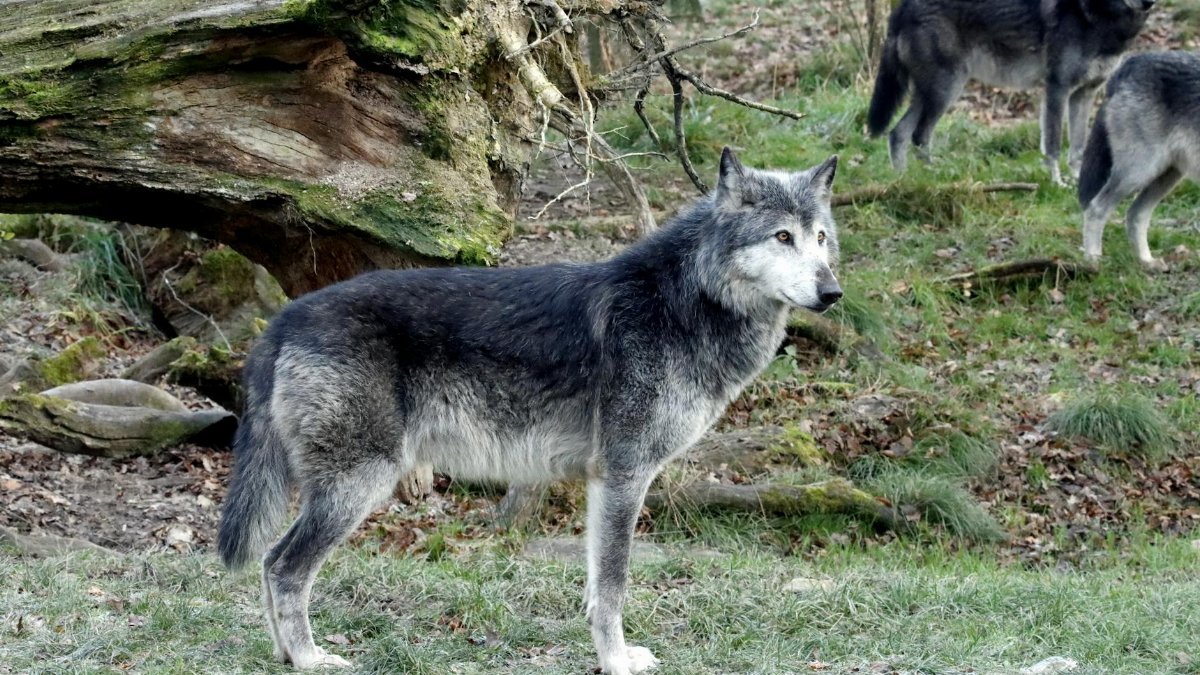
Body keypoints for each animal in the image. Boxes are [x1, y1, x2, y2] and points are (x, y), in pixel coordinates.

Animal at [217, 149, 843, 674]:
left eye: (820, 238)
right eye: (782, 236)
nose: (832, 292)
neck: (681, 304)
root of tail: (284, 320)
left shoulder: (602, 482)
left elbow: (596, 586)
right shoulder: (624, 474)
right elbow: (614, 585)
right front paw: (616, 664)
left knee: (270, 564)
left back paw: (283, 655)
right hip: (360, 485)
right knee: (282, 566)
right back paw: (309, 660)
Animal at [867, 0, 1154, 184]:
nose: (1149, 3)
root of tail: (901, 8)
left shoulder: (1084, 95)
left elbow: (1077, 147)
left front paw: (1076, 181)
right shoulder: (1057, 89)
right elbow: (1052, 145)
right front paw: (1057, 183)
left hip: (931, 94)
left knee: (898, 133)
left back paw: (903, 180)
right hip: (945, 91)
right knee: (918, 135)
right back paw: (932, 177)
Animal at [1078, 51, 1200, 269]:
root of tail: (1129, 64)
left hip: (1166, 177)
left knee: (1135, 214)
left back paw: (1146, 261)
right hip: (1138, 173)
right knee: (1095, 209)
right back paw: (1094, 261)